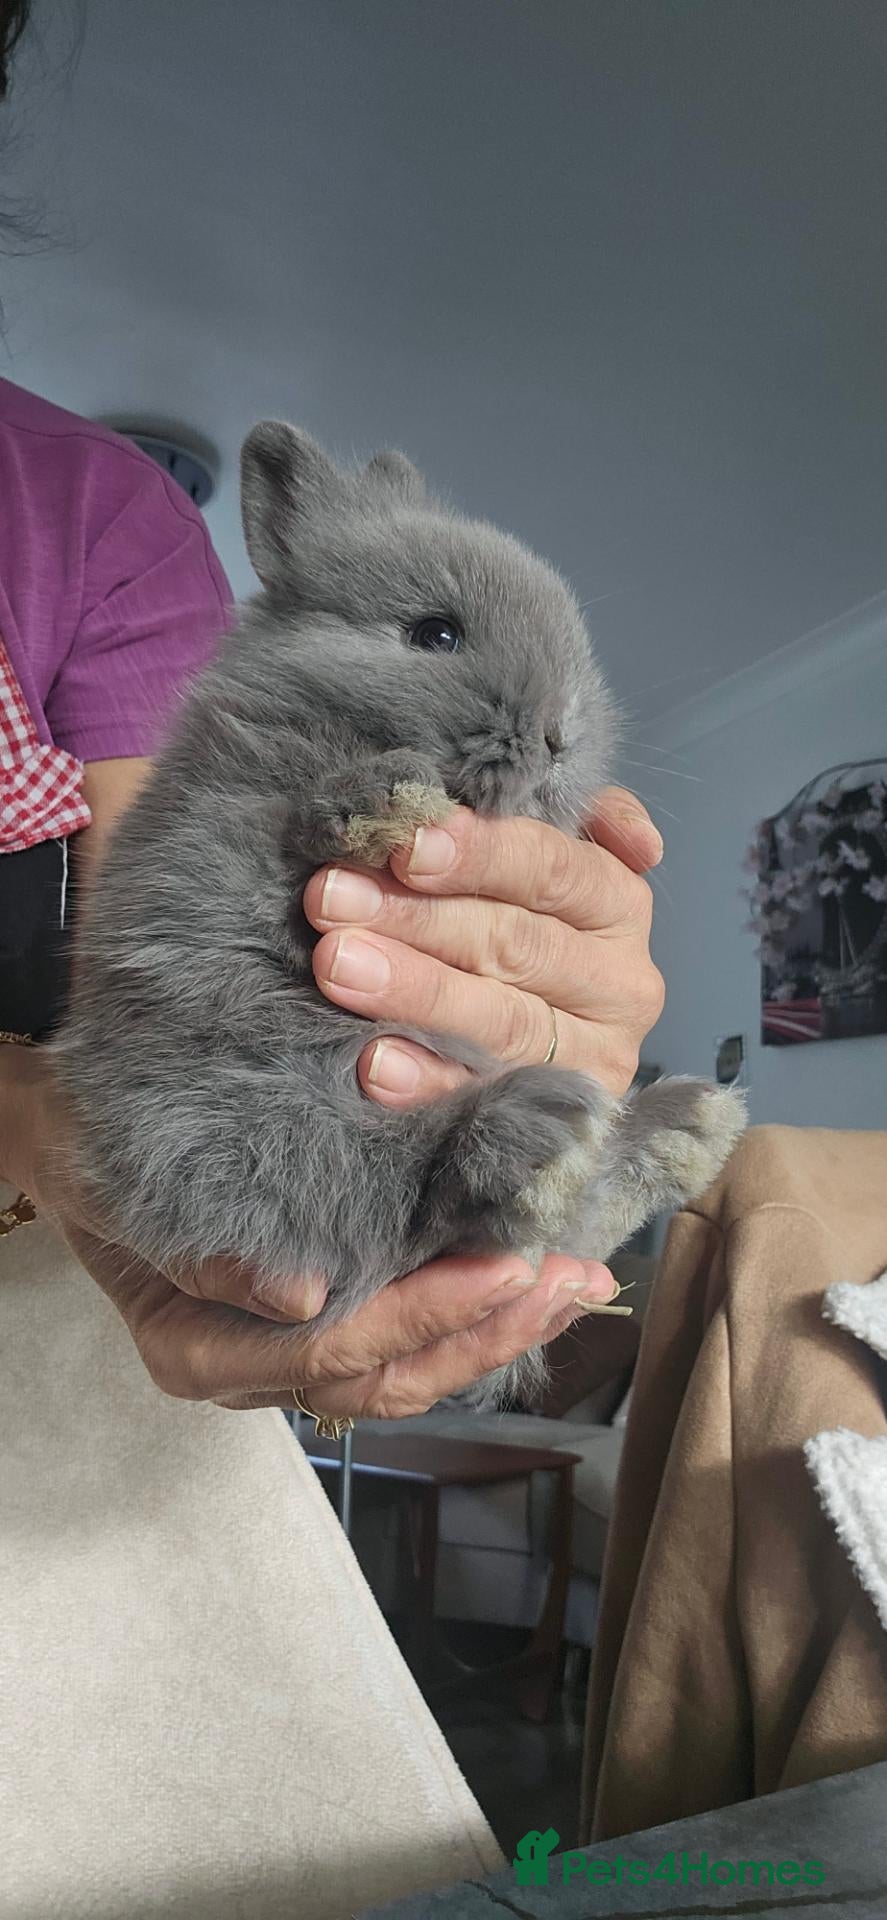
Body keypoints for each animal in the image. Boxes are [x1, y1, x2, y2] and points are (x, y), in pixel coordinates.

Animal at [58, 422, 745, 1406]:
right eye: (435, 633)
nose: (557, 736)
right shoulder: (229, 815)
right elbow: (294, 828)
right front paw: (390, 802)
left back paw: (679, 1128)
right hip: (237, 1123)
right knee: (393, 1205)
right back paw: (535, 1143)